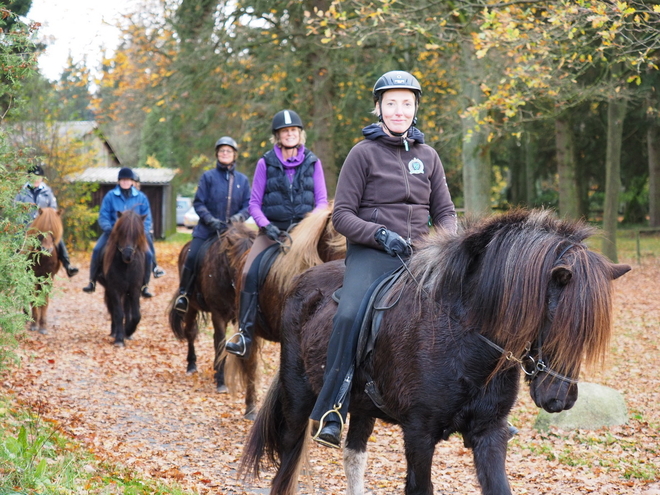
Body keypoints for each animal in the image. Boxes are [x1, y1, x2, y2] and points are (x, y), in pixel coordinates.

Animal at [27, 207, 63, 336]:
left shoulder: (48, 278)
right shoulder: (32, 277)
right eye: (41, 233)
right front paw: (34, 324)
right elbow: (33, 298)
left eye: (53, 232)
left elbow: (45, 301)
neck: (43, 258)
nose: (46, 249)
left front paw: (43, 326)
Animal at [98, 211, 149, 346]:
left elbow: (136, 315)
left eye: (137, 233)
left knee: (126, 310)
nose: (128, 255)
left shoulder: (134, 289)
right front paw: (119, 338)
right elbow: (118, 313)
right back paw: (114, 332)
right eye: (121, 232)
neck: (126, 267)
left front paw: (129, 331)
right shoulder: (114, 289)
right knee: (113, 310)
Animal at [241, 209, 628, 495]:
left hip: (362, 407)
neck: (465, 337)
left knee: (354, 457)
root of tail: (301, 281)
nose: (560, 399)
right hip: (298, 398)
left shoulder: (489, 433)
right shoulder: (419, 434)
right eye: (554, 318)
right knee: (286, 463)